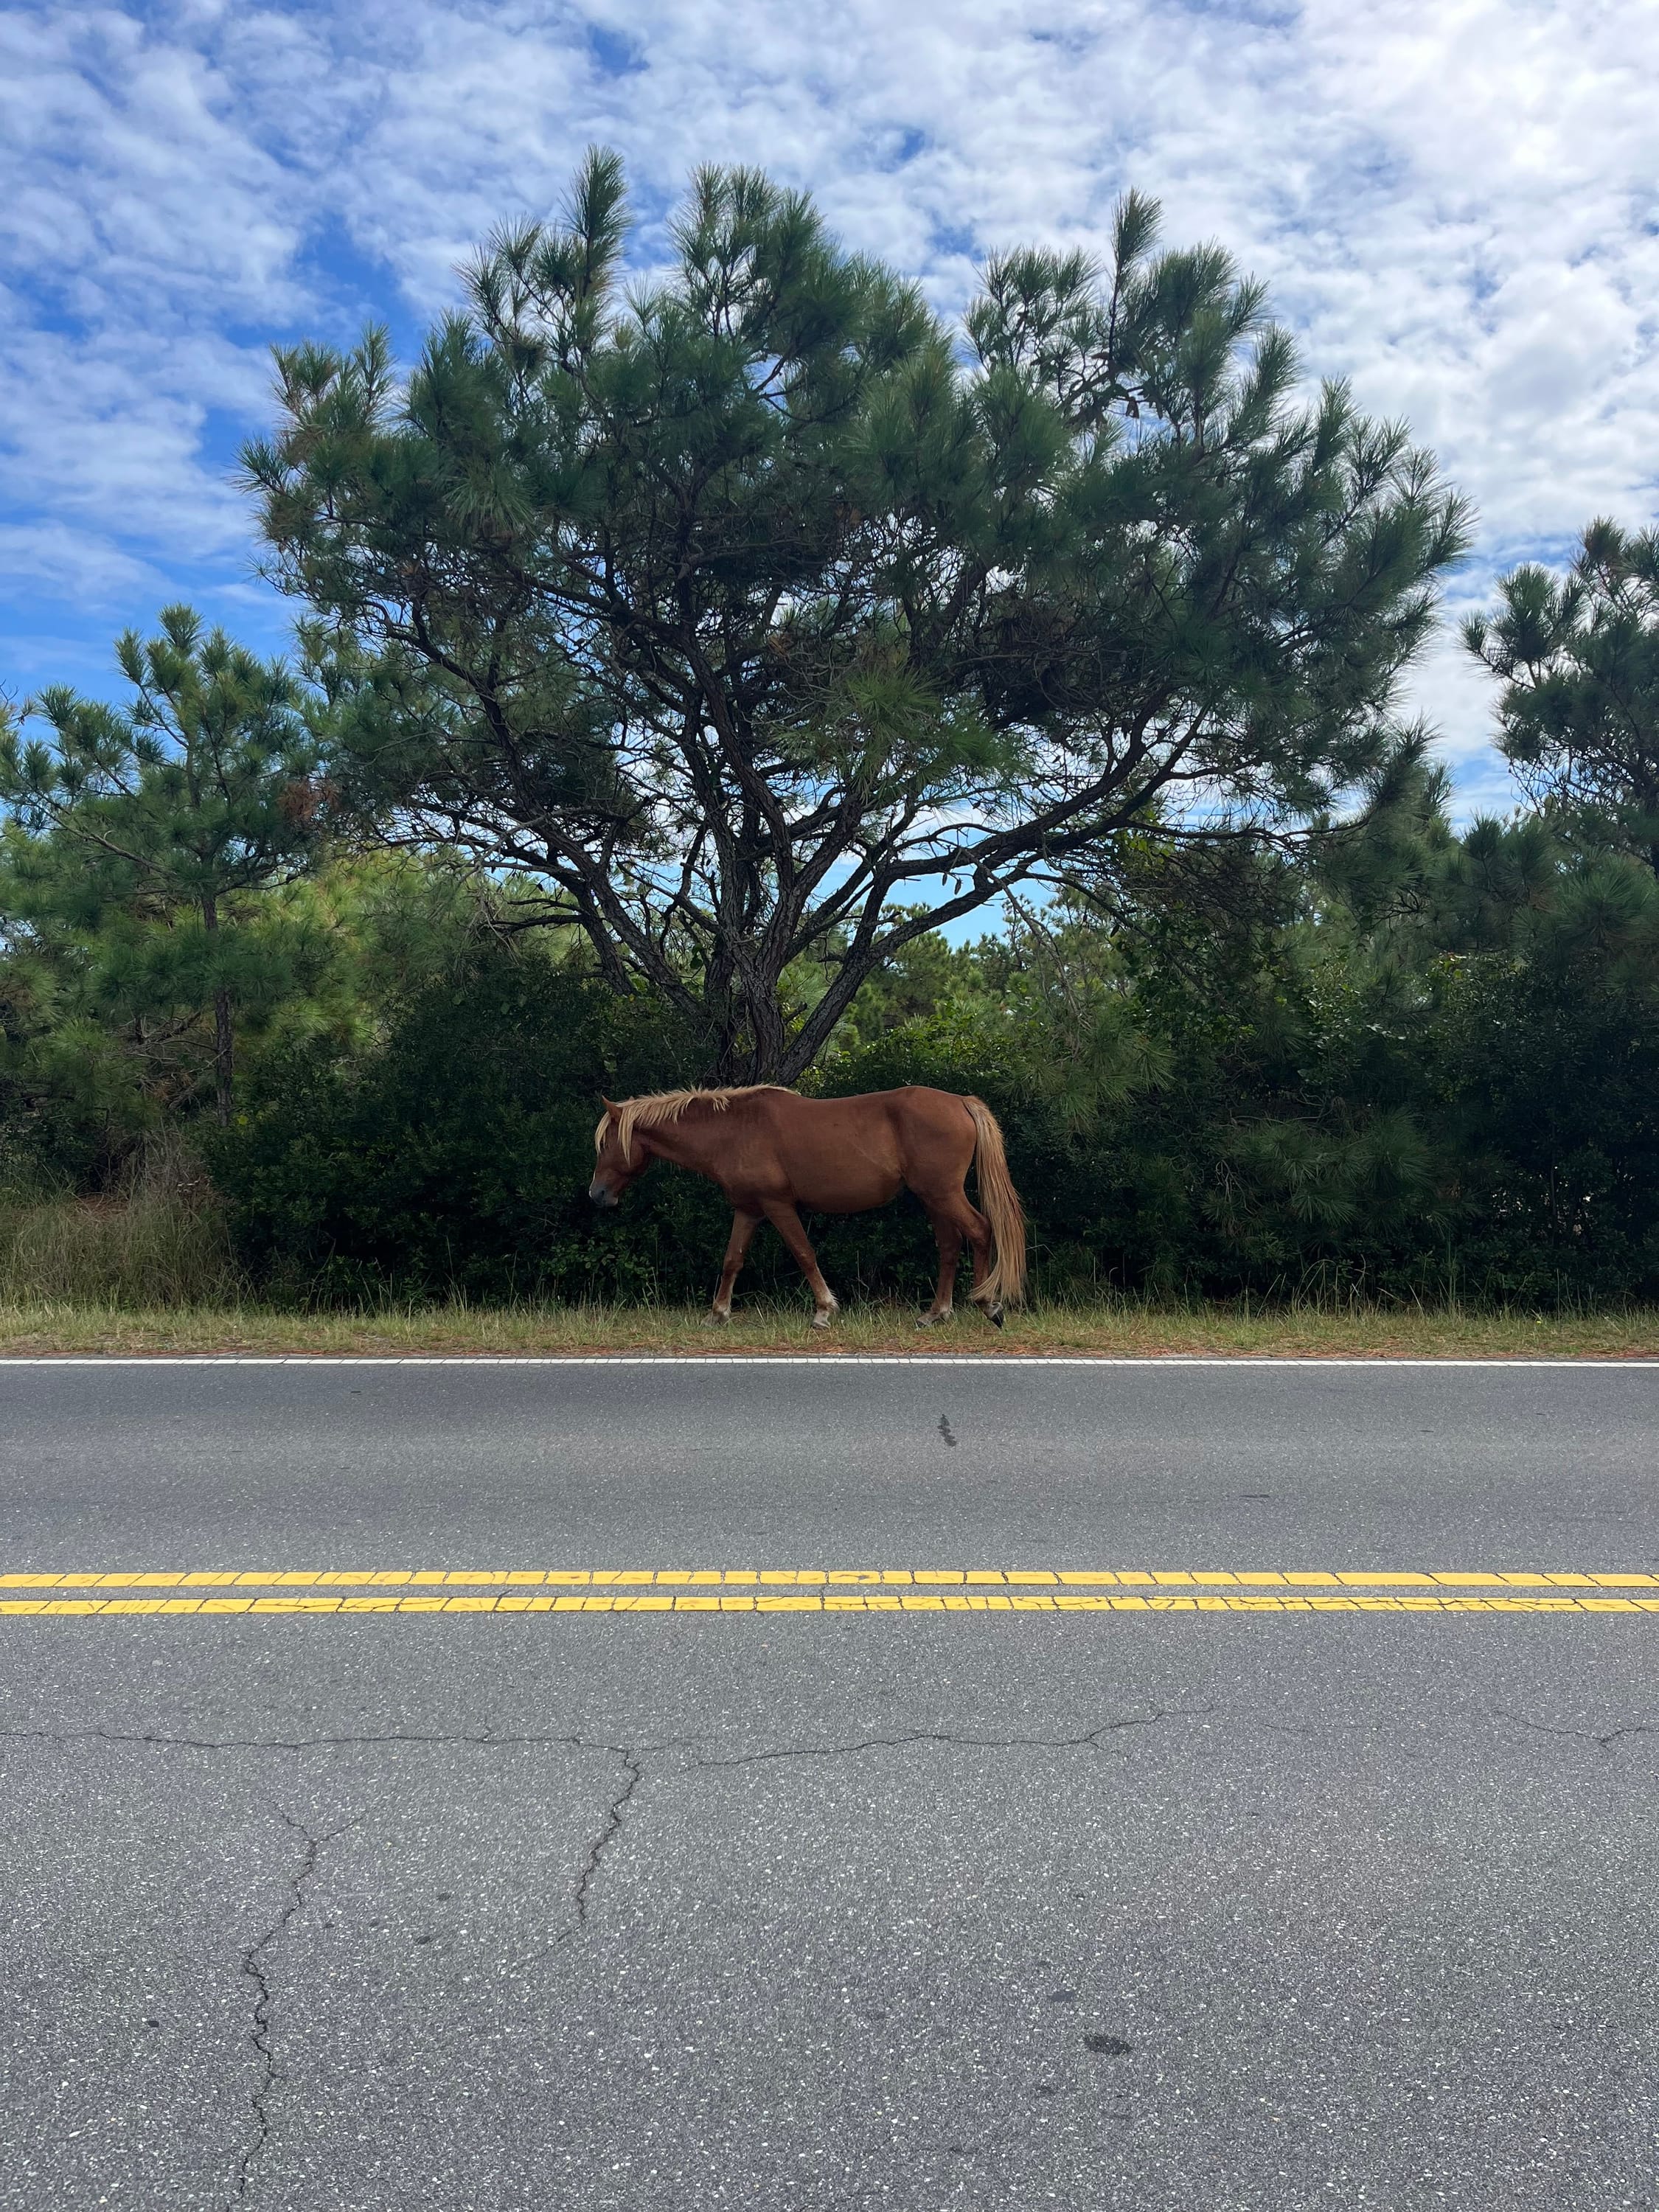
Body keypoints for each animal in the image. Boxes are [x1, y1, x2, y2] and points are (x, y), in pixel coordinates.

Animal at [589, 1084, 1027, 1329]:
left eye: (606, 1143)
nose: (596, 1195)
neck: (733, 1130)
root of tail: (961, 1102)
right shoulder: (748, 1209)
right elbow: (732, 1260)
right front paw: (717, 1314)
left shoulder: (777, 1205)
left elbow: (803, 1253)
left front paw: (823, 1310)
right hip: (934, 1198)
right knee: (950, 1247)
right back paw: (935, 1313)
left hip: (943, 1194)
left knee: (980, 1231)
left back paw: (988, 1305)